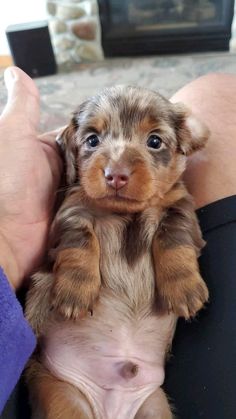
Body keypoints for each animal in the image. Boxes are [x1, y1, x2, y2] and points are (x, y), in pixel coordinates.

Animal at [25, 86, 209, 419]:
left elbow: (174, 238)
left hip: (154, 408)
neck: (125, 214)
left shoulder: (180, 206)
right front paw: (75, 291)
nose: (116, 175)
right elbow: (79, 243)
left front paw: (184, 288)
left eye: (154, 141)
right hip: (62, 397)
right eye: (92, 140)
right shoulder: (72, 212)